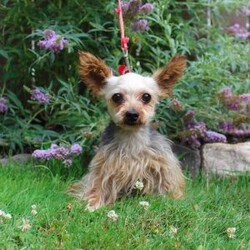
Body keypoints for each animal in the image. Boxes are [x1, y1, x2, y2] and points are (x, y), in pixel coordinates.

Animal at [69, 51, 187, 210]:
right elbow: (97, 185)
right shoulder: (104, 167)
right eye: (117, 96)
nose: (132, 114)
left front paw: (172, 200)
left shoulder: (162, 165)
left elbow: (167, 184)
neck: (132, 138)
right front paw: (92, 203)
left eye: (146, 96)